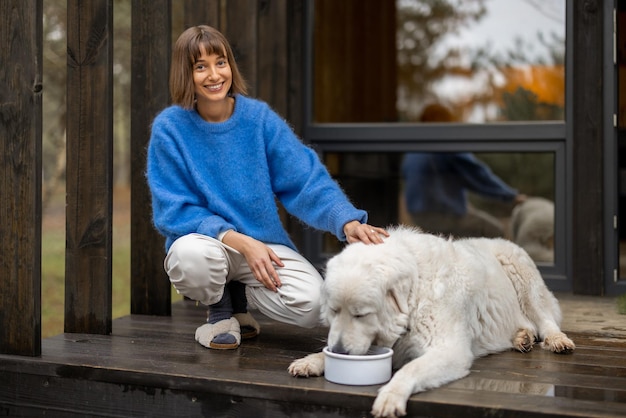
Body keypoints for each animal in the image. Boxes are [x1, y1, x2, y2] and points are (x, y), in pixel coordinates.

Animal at [288, 227, 572, 416]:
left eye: (361, 314)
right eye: (334, 311)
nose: (340, 351)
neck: (414, 291)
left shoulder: (450, 350)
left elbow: (410, 370)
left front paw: (390, 397)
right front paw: (312, 361)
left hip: (520, 271)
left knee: (544, 319)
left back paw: (557, 340)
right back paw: (521, 337)